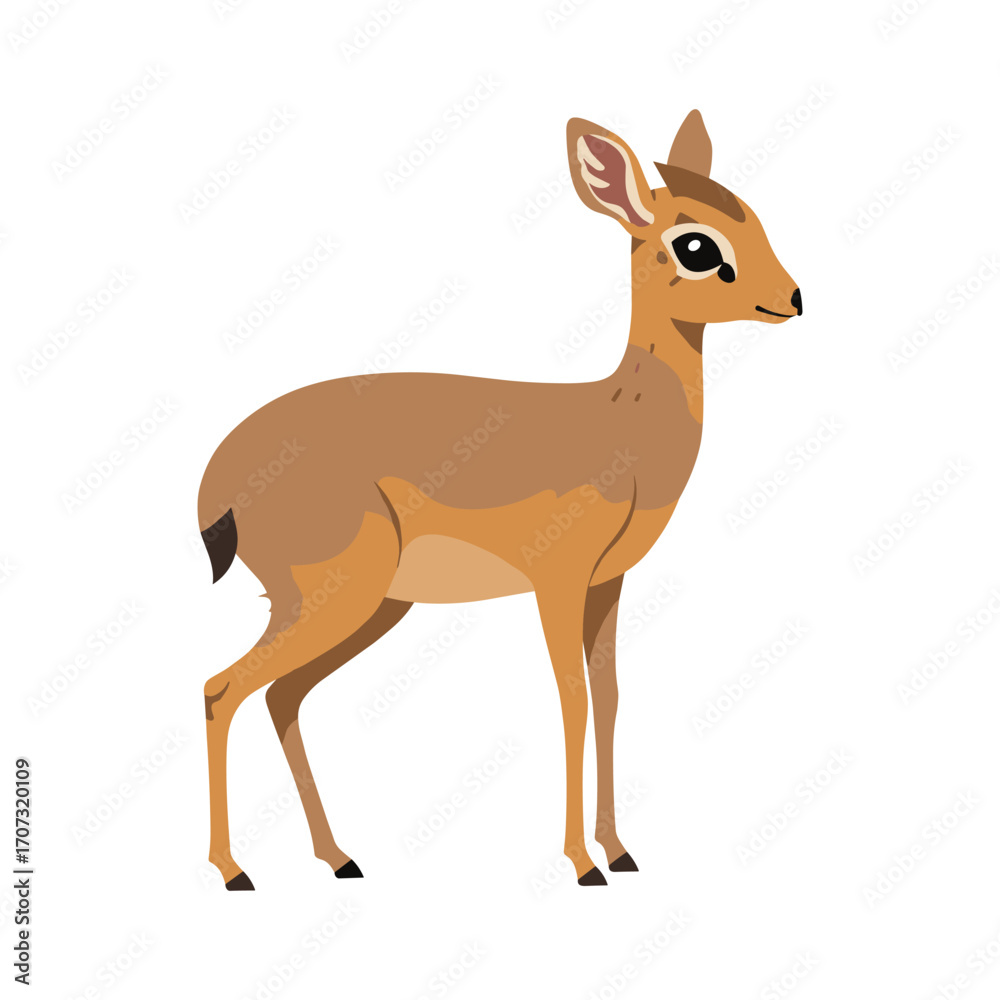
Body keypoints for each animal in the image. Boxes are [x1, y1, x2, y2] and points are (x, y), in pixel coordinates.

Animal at [197, 111, 801, 890]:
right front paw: (582, 864)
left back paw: (339, 859)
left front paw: (621, 851)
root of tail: (218, 473)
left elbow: (609, 695)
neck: (624, 425)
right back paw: (233, 871)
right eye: (696, 244)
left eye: (751, 213)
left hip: (369, 606)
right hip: (333, 599)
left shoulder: (608, 583)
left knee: (279, 695)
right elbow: (571, 697)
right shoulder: (557, 579)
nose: (794, 298)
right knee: (222, 690)